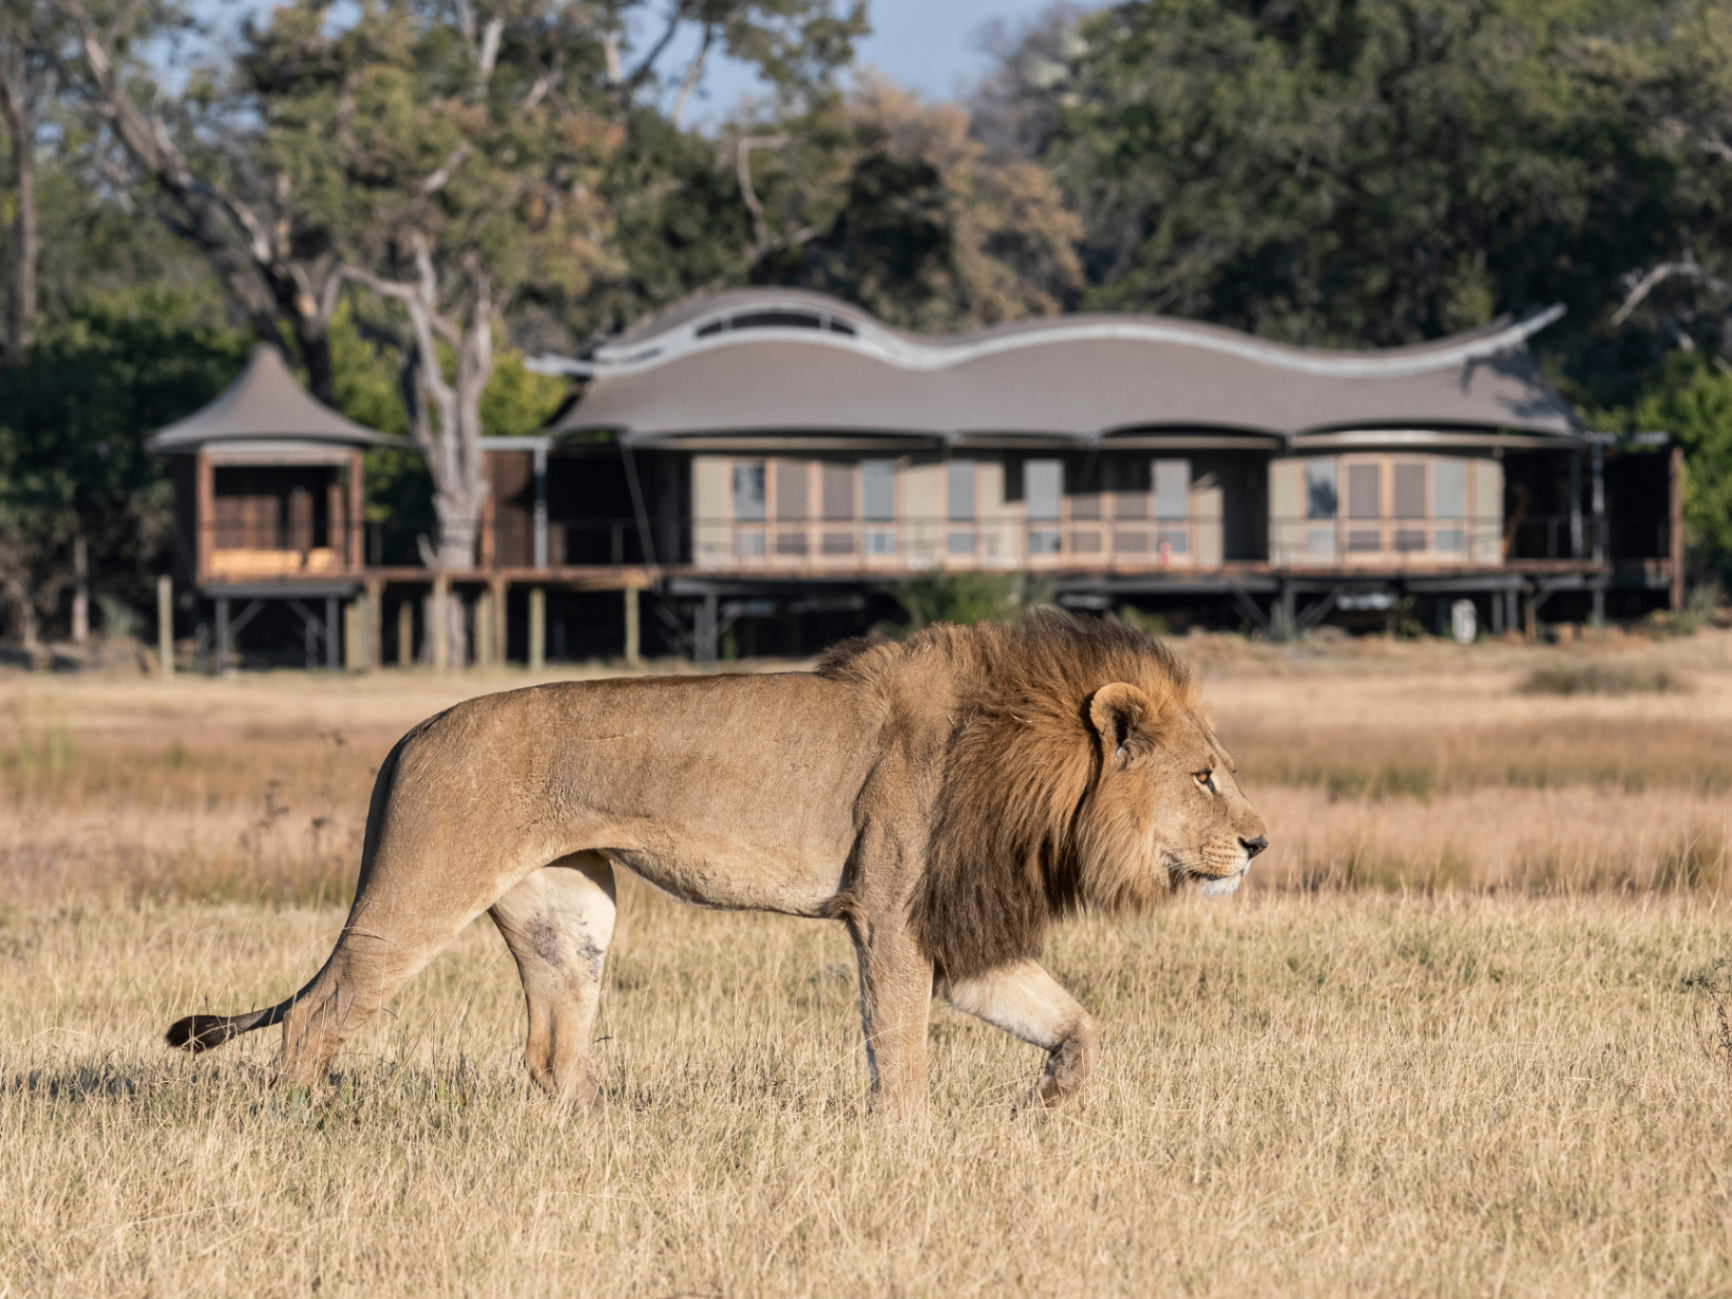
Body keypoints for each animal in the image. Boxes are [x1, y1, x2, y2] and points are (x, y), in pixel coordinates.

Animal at [166, 613, 1267, 1114]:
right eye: (1206, 776)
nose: (1258, 845)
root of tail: (405, 738)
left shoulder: (959, 936)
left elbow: (1074, 1023)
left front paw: (1048, 1106)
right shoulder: (892, 919)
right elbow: (898, 1051)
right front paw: (907, 1144)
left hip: (572, 913)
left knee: (552, 1050)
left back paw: (596, 1136)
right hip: (421, 891)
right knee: (315, 1014)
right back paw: (303, 1122)